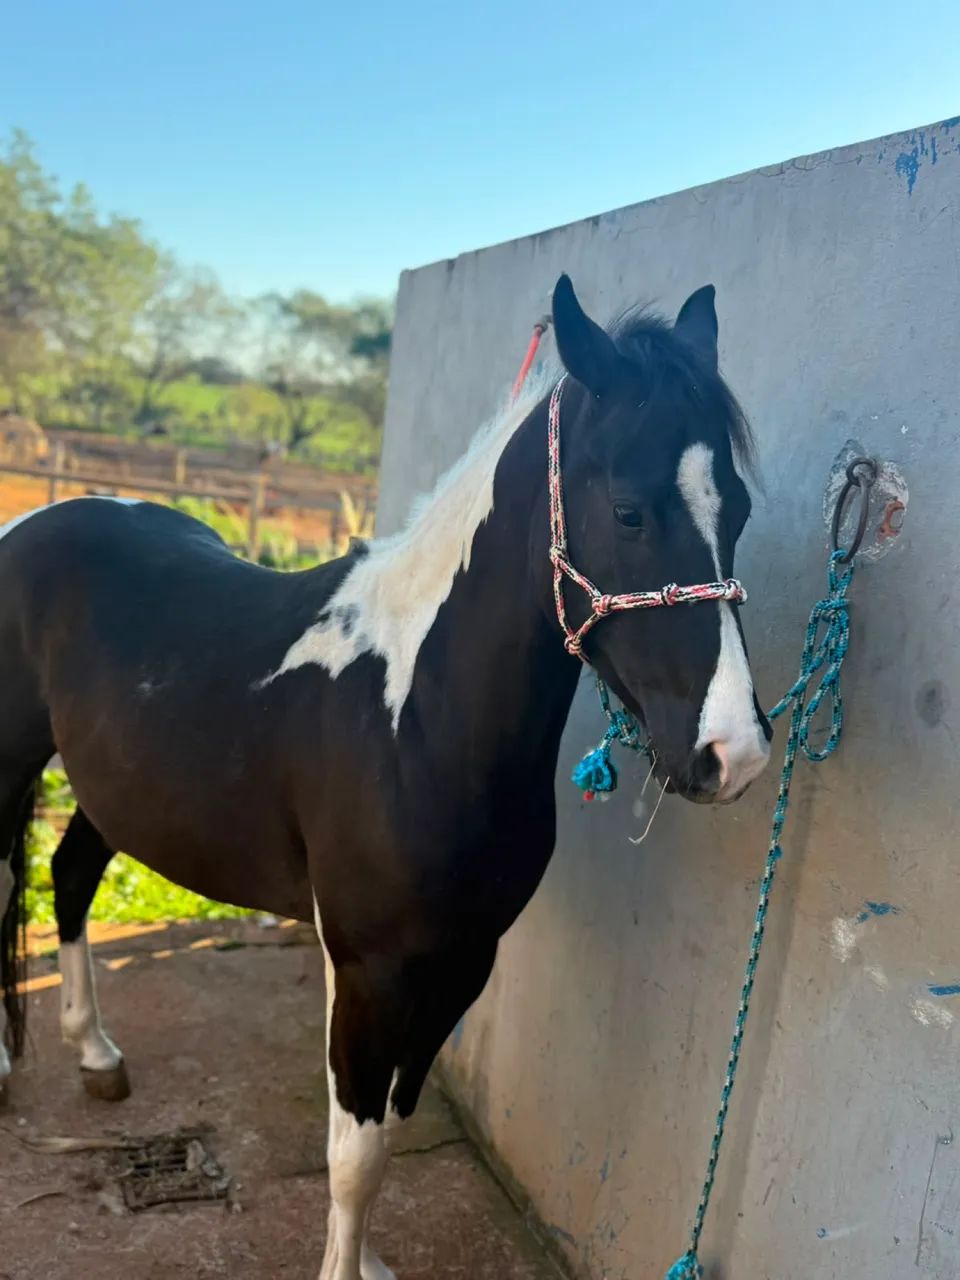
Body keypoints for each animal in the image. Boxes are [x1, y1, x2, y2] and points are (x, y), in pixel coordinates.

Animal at [0, 274, 771, 1279]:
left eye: (739, 510)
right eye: (631, 509)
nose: (733, 752)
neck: (413, 714)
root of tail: (35, 521)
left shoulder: (462, 962)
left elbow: (391, 1133)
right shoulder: (370, 972)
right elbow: (354, 1156)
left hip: (118, 791)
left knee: (70, 873)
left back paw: (95, 1054)